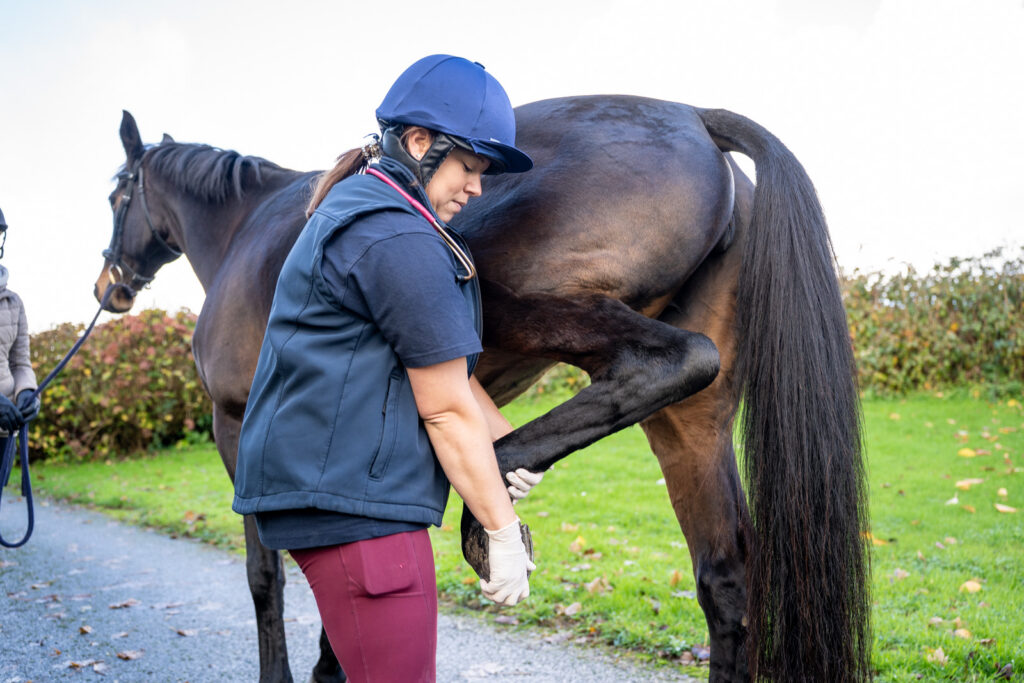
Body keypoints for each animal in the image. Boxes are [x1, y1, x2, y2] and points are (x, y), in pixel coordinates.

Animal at [95, 99, 870, 683]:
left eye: (114, 195)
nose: (110, 286)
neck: (244, 229)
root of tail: (695, 120)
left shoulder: (236, 427)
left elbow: (268, 576)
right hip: (691, 426)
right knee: (726, 578)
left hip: (511, 298)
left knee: (670, 361)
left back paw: (488, 506)